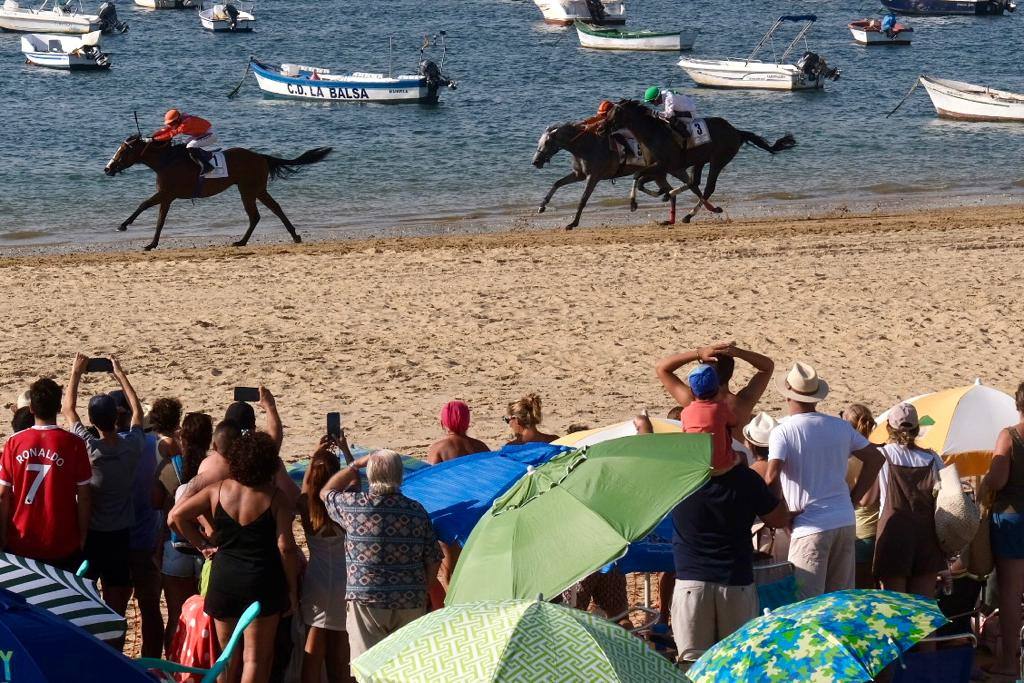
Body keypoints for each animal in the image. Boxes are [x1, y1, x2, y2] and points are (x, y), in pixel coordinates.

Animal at [103, 134, 329, 250]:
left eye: (122, 151)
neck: (167, 162)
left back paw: (242, 241)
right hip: (256, 189)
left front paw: (126, 227)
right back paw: (293, 235)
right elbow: (158, 219)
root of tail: (261, 157)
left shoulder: (166, 194)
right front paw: (150, 242)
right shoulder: (167, 197)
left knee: (255, 215)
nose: (107, 168)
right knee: (274, 208)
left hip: (248, 189)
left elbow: (146, 208)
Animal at [598, 100, 798, 223]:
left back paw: (687, 214)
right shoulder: (660, 168)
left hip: (718, 160)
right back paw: (677, 199)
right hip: (700, 160)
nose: (600, 128)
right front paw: (662, 193)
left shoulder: (662, 165)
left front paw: (634, 203)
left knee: (708, 187)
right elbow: (640, 181)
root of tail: (736, 131)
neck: (652, 134)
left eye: (614, 113)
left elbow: (637, 176)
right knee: (695, 182)